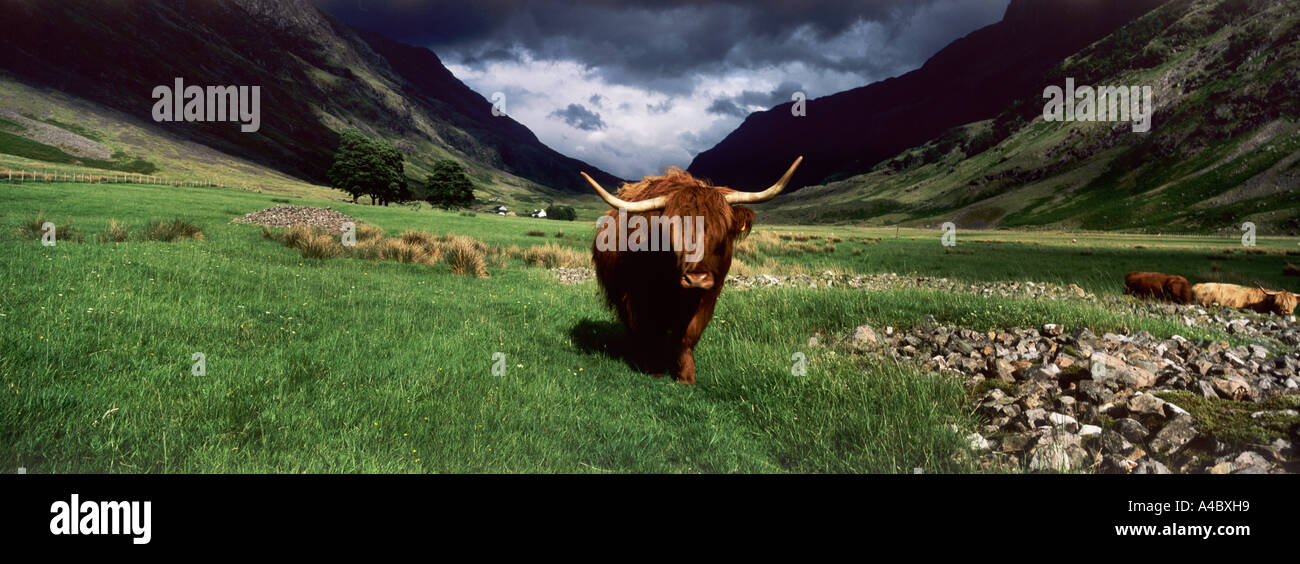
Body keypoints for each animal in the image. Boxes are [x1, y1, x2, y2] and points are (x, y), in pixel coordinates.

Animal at [582, 157, 803, 384]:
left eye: (722, 232)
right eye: (671, 233)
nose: (696, 278)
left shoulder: (709, 295)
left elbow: (689, 334)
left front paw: (686, 375)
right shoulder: (639, 296)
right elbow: (650, 330)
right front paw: (654, 369)